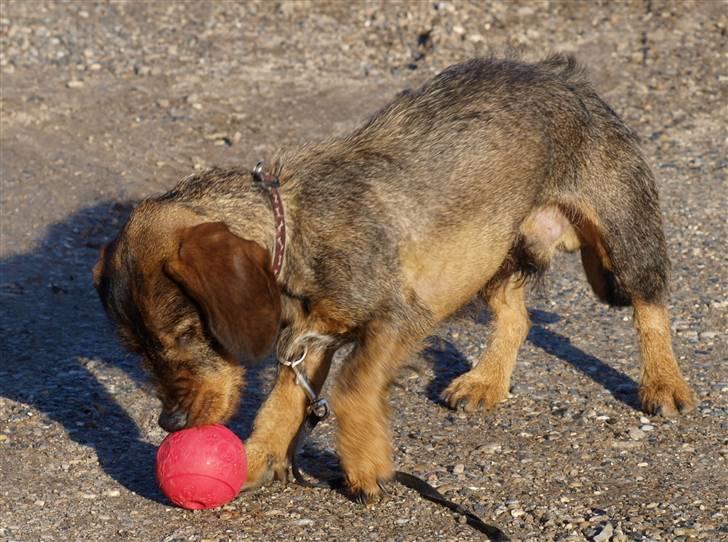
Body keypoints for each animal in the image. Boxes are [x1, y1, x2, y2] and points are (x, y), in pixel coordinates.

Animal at [94, 54, 696, 502]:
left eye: (186, 335)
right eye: (138, 351)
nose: (170, 422)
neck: (297, 222)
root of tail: (563, 74)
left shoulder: (397, 318)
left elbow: (353, 386)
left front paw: (364, 466)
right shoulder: (308, 342)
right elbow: (282, 405)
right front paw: (256, 458)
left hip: (624, 232)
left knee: (651, 305)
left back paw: (664, 384)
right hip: (492, 254)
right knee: (516, 316)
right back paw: (484, 382)